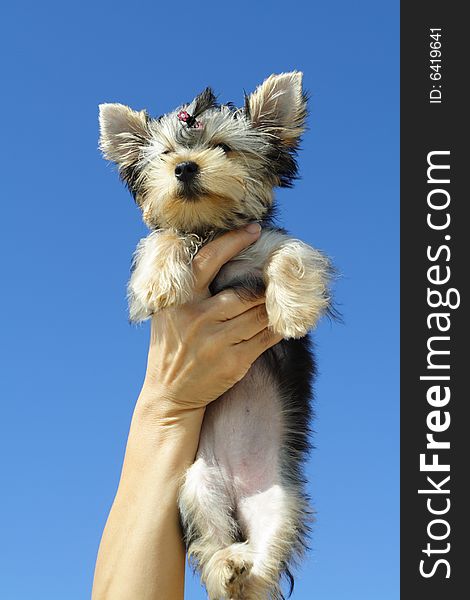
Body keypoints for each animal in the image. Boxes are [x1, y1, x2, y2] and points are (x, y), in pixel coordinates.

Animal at [99, 71, 332, 600]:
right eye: (166, 155)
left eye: (223, 148)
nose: (185, 166)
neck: (209, 230)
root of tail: (240, 497)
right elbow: (163, 236)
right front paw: (158, 280)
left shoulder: (267, 243)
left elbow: (291, 254)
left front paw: (293, 311)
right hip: (195, 489)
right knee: (211, 542)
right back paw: (228, 564)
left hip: (281, 504)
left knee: (266, 559)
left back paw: (243, 567)